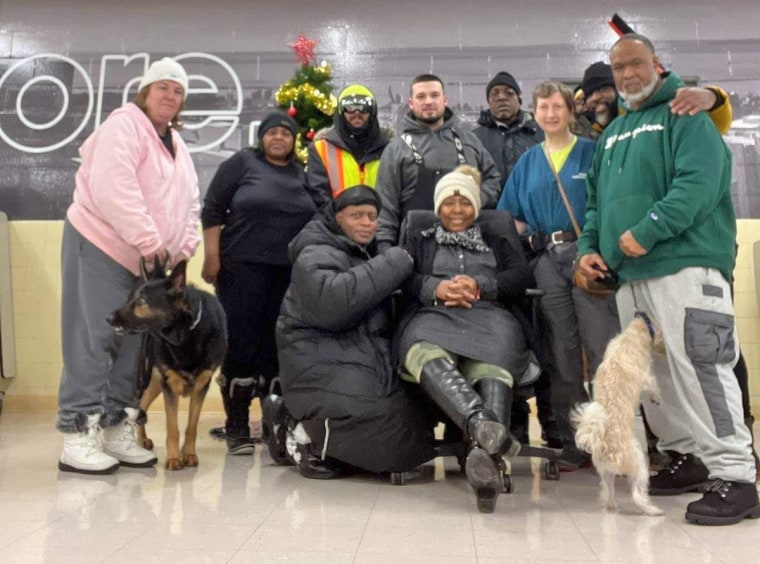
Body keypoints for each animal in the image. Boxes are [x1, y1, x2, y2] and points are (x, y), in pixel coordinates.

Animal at [107, 262, 226, 472]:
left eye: (141, 301)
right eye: (133, 299)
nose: (108, 317)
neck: (185, 335)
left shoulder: (201, 387)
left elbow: (191, 427)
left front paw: (188, 454)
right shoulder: (169, 386)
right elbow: (172, 428)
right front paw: (173, 458)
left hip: (155, 382)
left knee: (142, 405)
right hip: (152, 379)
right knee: (140, 404)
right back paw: (139, 441)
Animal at [572, 312, 664, 516]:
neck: (633, 334)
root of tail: (601, 440)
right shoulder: (646, 377)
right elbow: (654, 386)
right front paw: (657, 398)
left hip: (605, 472)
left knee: (608, 489)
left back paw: (612, 505)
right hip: (638, 464)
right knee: (637, 494)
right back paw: (652, 509)